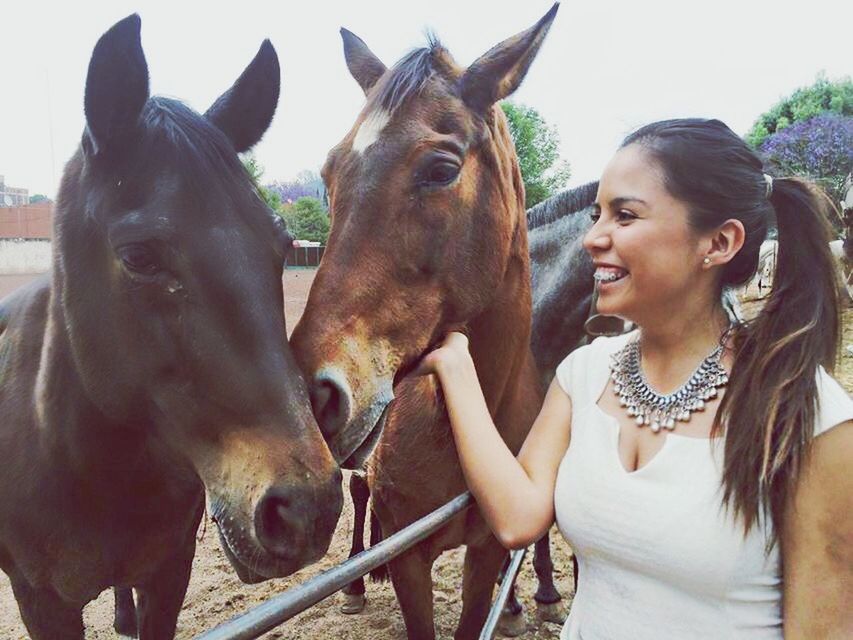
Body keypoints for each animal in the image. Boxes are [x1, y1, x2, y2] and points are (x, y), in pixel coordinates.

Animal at [292, 6, 560, 640]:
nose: (312, 395)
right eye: (330, 174)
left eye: (441, 168)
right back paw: (358, 581)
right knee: (359, 491)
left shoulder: (487, 552)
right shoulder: (411, 557)